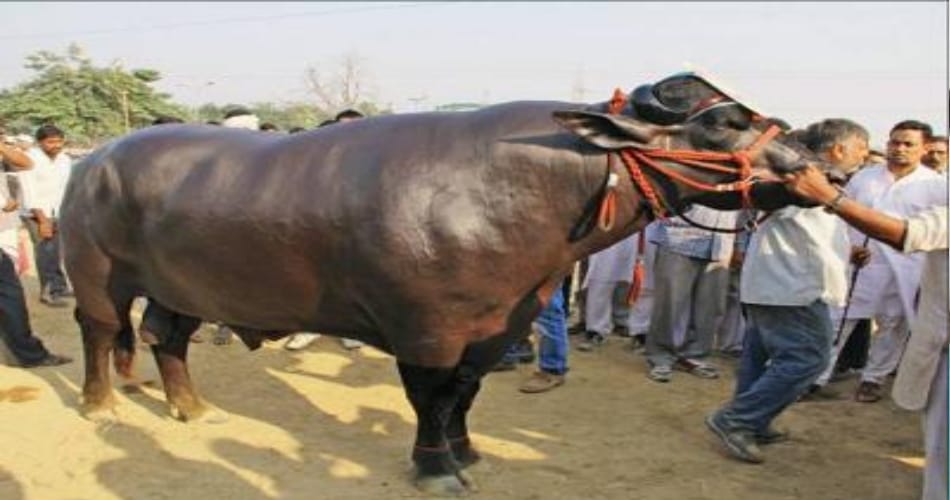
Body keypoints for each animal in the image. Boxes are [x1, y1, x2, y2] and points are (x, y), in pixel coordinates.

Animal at [60, 72, 821, 495]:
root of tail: (97, 158)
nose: (817, 167)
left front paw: (467, 450)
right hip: (94, 271)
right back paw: (101, 405)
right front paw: (435, 467)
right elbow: (429, 398)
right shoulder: (425, 330)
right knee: (101, 331)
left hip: (185, 285)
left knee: (165, 335)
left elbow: (465, 394)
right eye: (723, 125)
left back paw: (191, 408)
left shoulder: (499, 327)